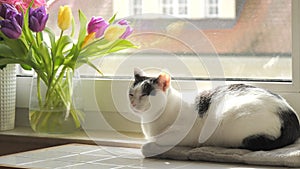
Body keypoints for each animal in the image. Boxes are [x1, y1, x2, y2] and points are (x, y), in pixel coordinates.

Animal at [128, 67, 300, 154]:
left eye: (145, 94)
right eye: (131, 94)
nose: (133, 104)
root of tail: (289, 113)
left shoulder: (181, 133)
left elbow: (156, 140)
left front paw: (148, 146)